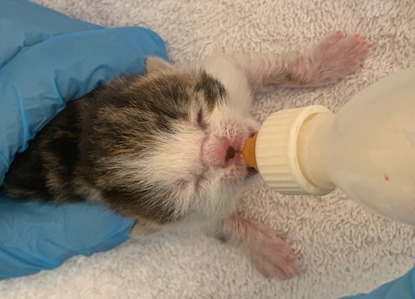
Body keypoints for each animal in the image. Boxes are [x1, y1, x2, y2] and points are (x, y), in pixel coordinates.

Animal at [0, 31, 370, 280]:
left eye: (198, 118)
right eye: (192, 183)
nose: (222, 150)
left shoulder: (224, 74)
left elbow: (257, 68)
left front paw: (328, 59)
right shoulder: (183, 221)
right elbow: (218, 224)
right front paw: (263, 248)